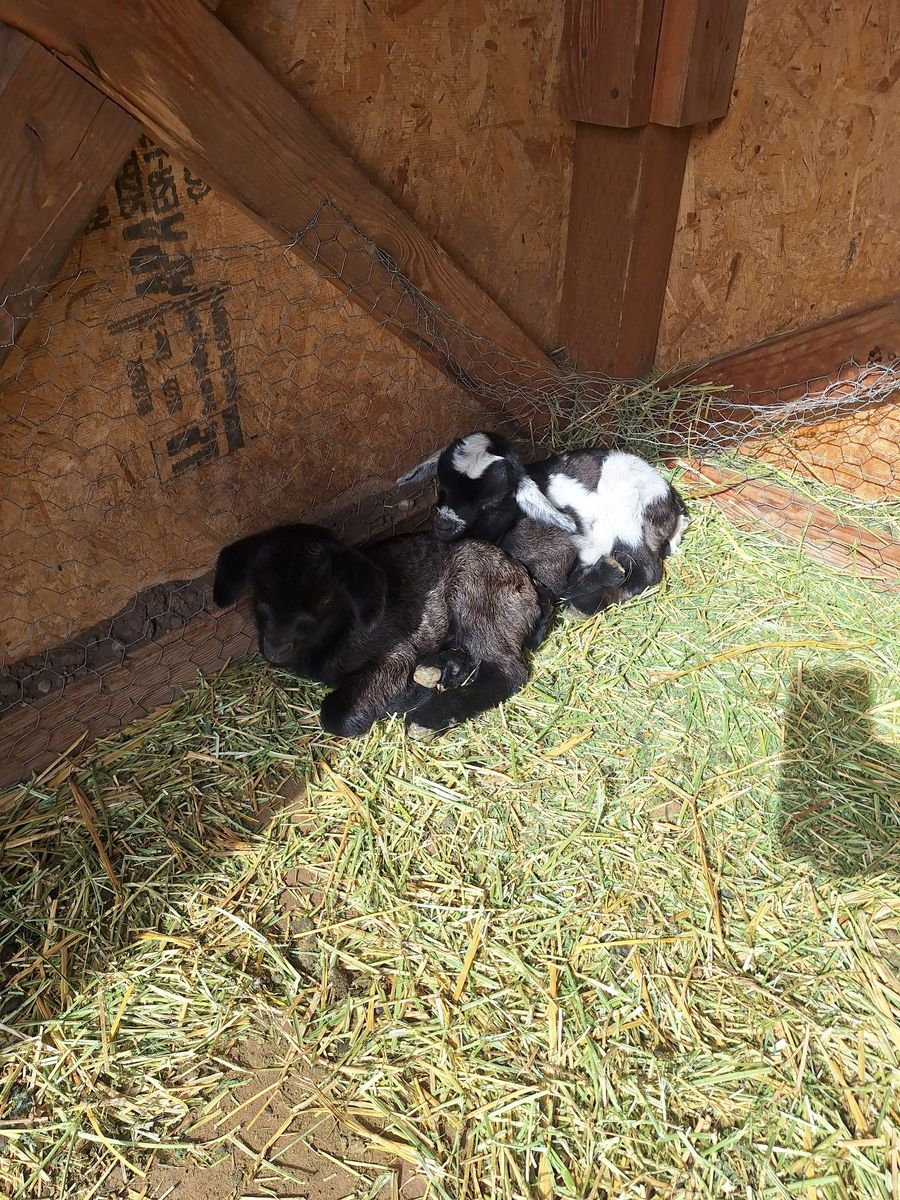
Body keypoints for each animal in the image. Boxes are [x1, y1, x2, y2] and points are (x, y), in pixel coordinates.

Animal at [212, 522, 551, 737]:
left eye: (324, 599)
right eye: (257, 594)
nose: (276, 649)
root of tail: (528, 584)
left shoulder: (393, 653)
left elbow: (335, 716)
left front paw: (405, 699)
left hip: (476, 595)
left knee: (506, 670)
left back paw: (428, 716)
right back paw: (442, 670)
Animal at [397, 431, 688, 613]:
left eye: (491, 502)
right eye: (441, 488)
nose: (443, 527)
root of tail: (669, 497)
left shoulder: (557, 554)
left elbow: (561, 587)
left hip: (628, 517)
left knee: (647, 570)